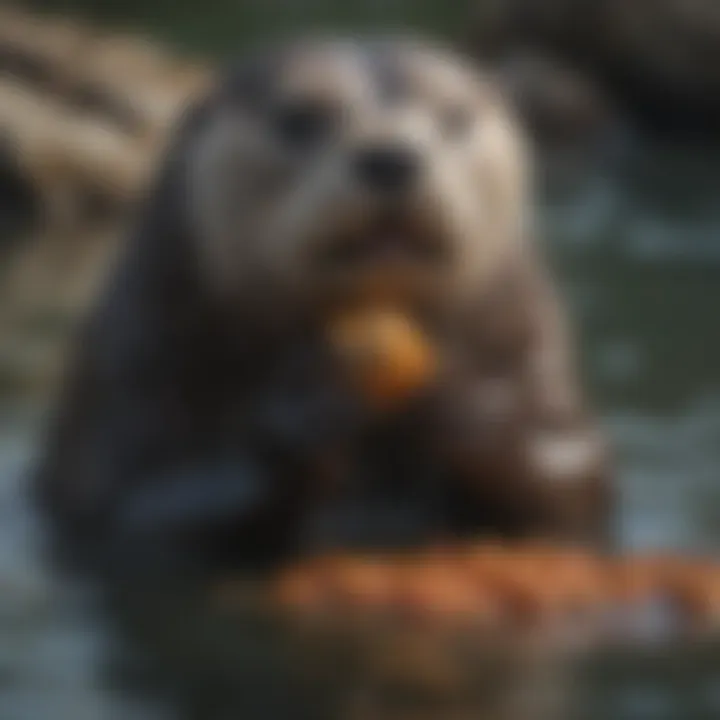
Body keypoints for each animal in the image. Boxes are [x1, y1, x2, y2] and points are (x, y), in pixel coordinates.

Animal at [31, 36, 612, 572]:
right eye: (299, 119)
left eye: (455, 117)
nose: (391, 156)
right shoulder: (140, 360)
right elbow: (144, 501)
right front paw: (310, 399)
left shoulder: (532, 343)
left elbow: (568, 475)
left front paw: (463, 399)